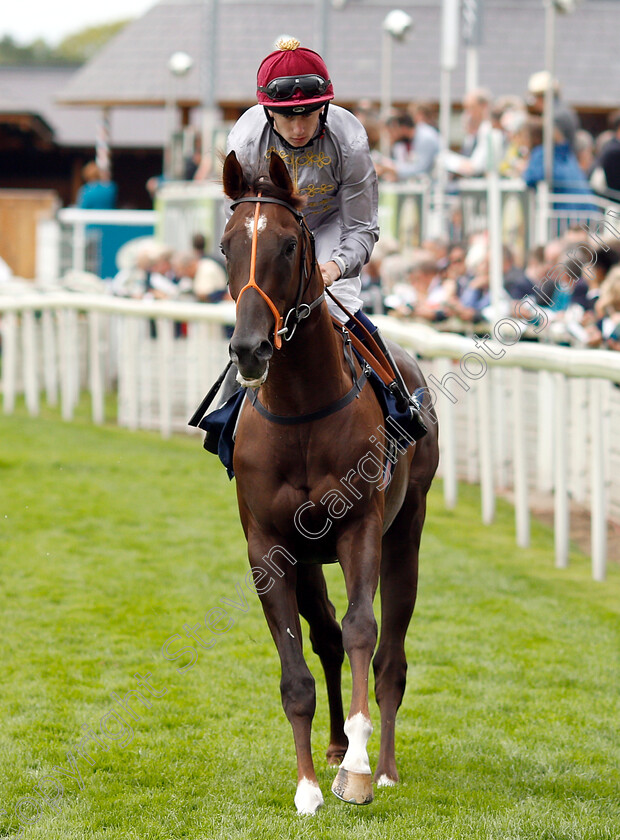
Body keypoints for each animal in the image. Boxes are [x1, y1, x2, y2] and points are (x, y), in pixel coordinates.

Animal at [220, 151, 438, 812]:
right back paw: (337, 748)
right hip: (308, 557)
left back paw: (381, 765)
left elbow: (364, 629)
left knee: (390, 655)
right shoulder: (269, 547)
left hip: (406, 532)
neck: (300, 409)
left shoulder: (359, 527)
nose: (250, 348)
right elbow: (298, 669)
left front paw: (360, 771)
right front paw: (309, 787)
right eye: (225, 244)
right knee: (326, 638)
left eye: (290, 245)